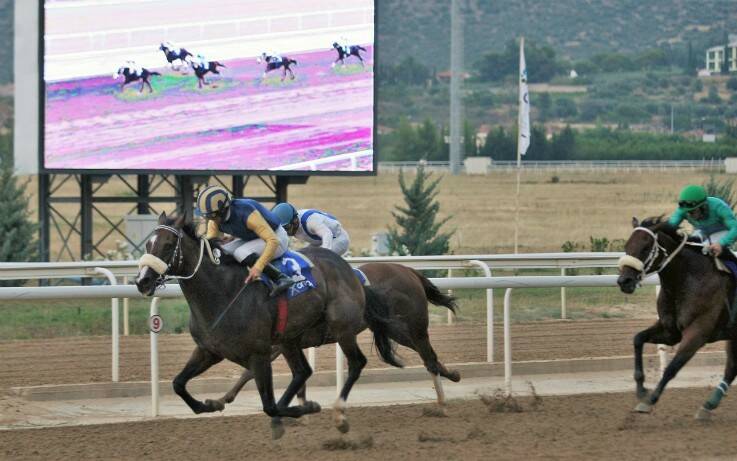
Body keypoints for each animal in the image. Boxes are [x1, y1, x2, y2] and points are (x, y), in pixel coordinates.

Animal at [211, 262, 460, 414]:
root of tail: (409, 270)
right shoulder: (281, 343)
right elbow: (250, 372)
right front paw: (222, 399)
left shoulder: (281, 342)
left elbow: (251, 371)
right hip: (394, 328)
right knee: (429, 355)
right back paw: (452, 376)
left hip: (412, 325)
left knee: (428, 356)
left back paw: (442, 400)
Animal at [616, 216, 736, 416]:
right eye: (627, 246)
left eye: (646, 247)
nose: (624, 281)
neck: (688, 278)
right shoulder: (670, 331)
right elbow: (638, 339)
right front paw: (641, 389)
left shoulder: (697, 334)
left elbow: (672, 368)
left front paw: (650, 400)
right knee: (731, 368)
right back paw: (708, 406)